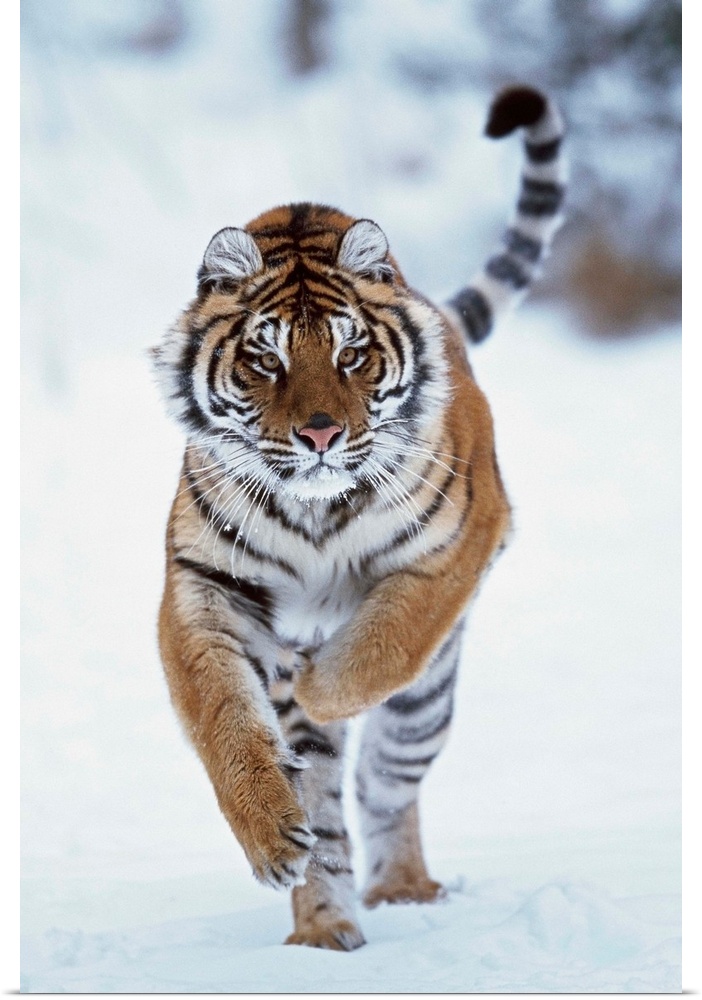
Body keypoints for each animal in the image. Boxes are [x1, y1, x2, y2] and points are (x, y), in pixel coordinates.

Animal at [153, 88, 568, 952]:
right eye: (266, 358)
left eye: (351, 355)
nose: (320, 435)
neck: (313, 506)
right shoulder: (203, 583)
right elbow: (221, 714)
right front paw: (270, 834)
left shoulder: (462, 540)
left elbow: (386, 640)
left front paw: (321, 683)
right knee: (327, 816)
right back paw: (321, 927)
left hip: (424, 709)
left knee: (385, 783)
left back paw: (404, 889)